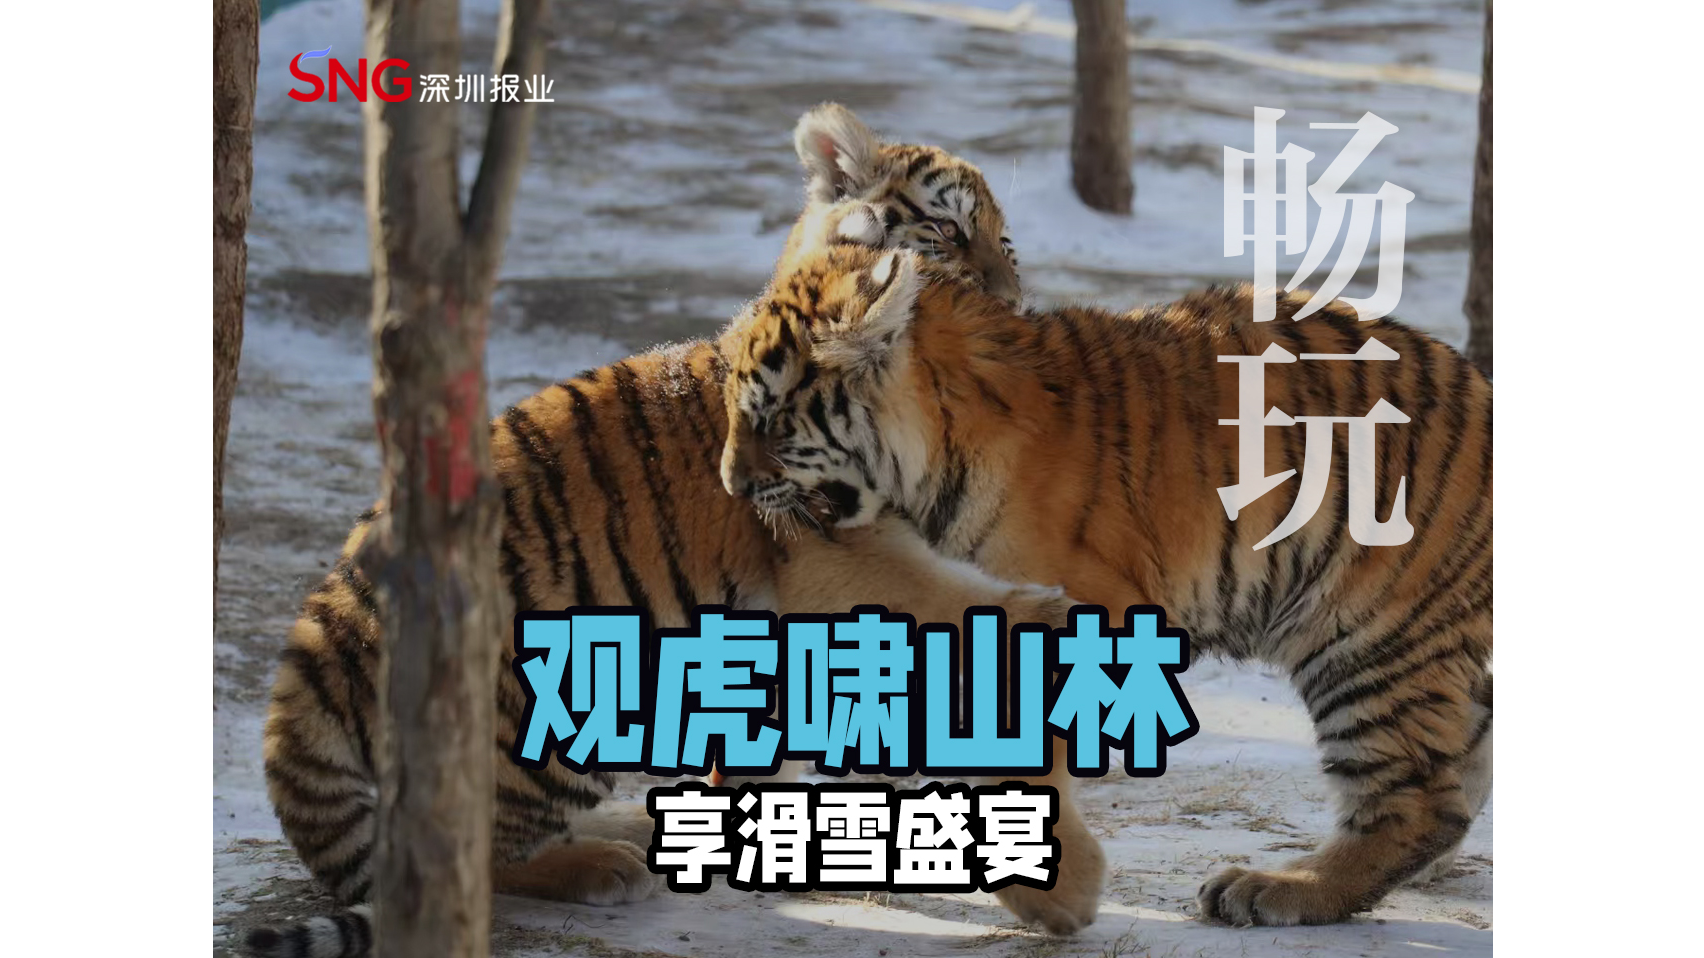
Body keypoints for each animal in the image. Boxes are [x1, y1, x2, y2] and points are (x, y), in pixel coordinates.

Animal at [242, 104, 1098, 958]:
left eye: (1006, 243)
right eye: (948, 232)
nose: (1012, 301)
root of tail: (305, 668)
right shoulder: (833, 548)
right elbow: (938, 599)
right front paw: (1042, 614)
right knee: (465, 854)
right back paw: (601, 862)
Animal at [717, 245, 1494, 928]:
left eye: (769, 418)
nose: (731, 483)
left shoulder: (1081, 610)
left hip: (1363, 636)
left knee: (1419, 802)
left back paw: (1276, 888)